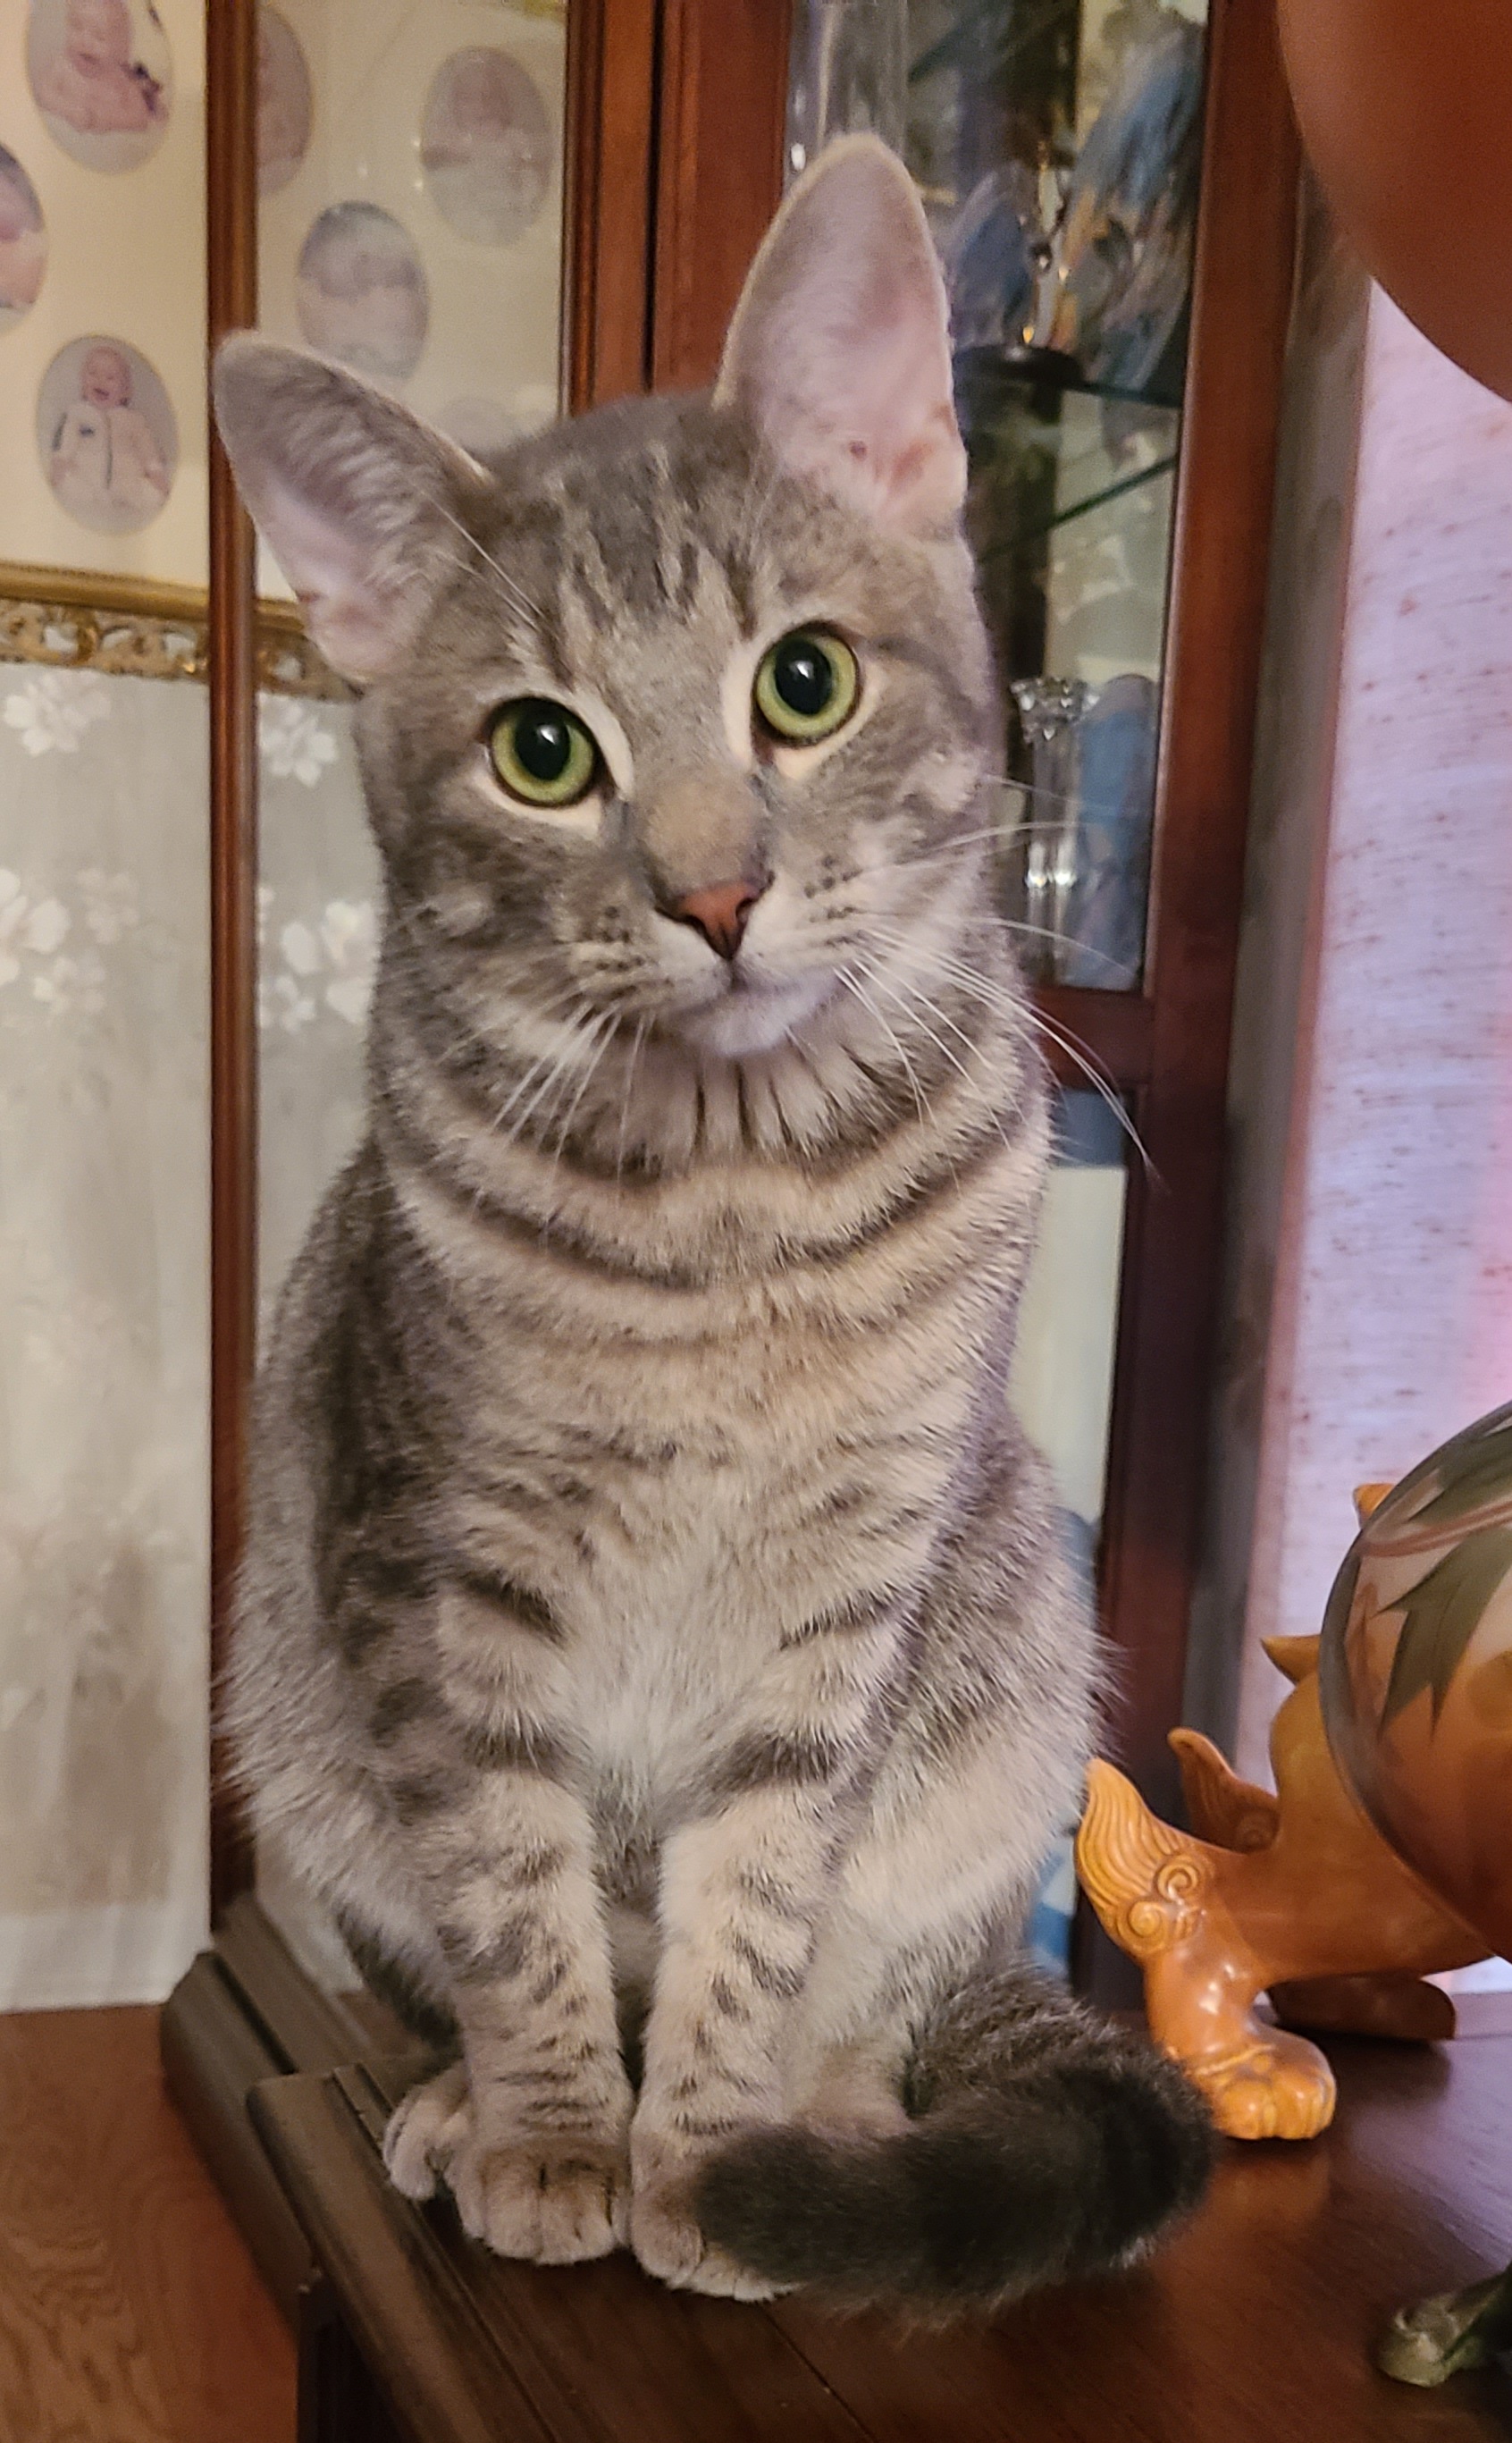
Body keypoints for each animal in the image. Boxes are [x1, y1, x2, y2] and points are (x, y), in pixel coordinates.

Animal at [215, 133, 1216, 2305]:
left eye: (805, 686)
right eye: (542, 748)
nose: (715, 892)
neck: (734, 1215)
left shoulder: (845, 1598)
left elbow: (755, 1910)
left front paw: (708, 2150)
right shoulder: (440, 1570)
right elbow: (518, 1894)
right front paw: (552, 2127)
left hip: (1006, 1692)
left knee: (885, 2006)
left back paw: (828, 2118)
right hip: (295, 1712)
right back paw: (449, 2102)